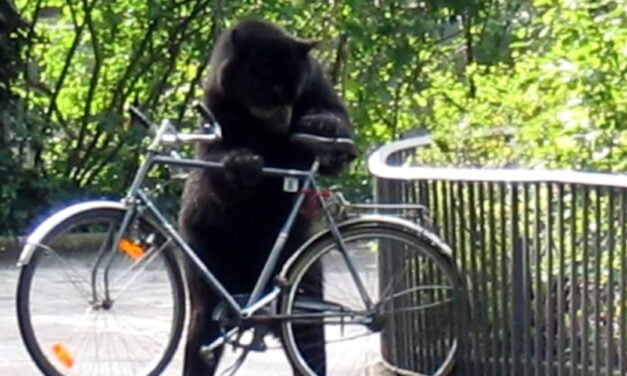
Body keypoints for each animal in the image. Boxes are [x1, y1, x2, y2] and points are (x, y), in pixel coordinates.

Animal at [179, 18, 356, 376]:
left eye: (293, 93)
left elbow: (335, 120)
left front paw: (322, 124)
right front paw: (241, 163)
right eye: (269, 91)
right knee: (202, 324)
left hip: (297, 259)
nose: (284, 122)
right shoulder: (219, 109)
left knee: (306, 329)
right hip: (206, 248)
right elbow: (214, 156)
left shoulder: (315, 83)